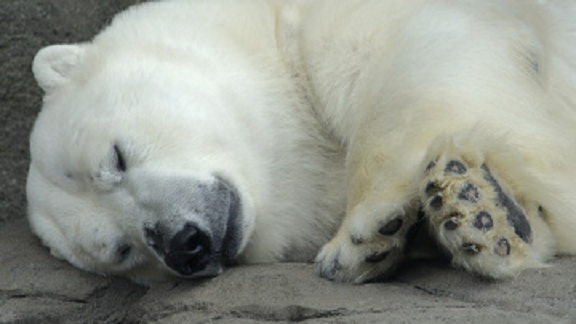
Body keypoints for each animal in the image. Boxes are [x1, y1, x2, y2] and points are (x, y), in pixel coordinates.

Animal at [28, 0, 576, 284]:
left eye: (115, 157)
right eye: (121, 249)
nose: (184, 244)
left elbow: (428, 54)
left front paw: (363, 232)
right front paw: (486, 212)